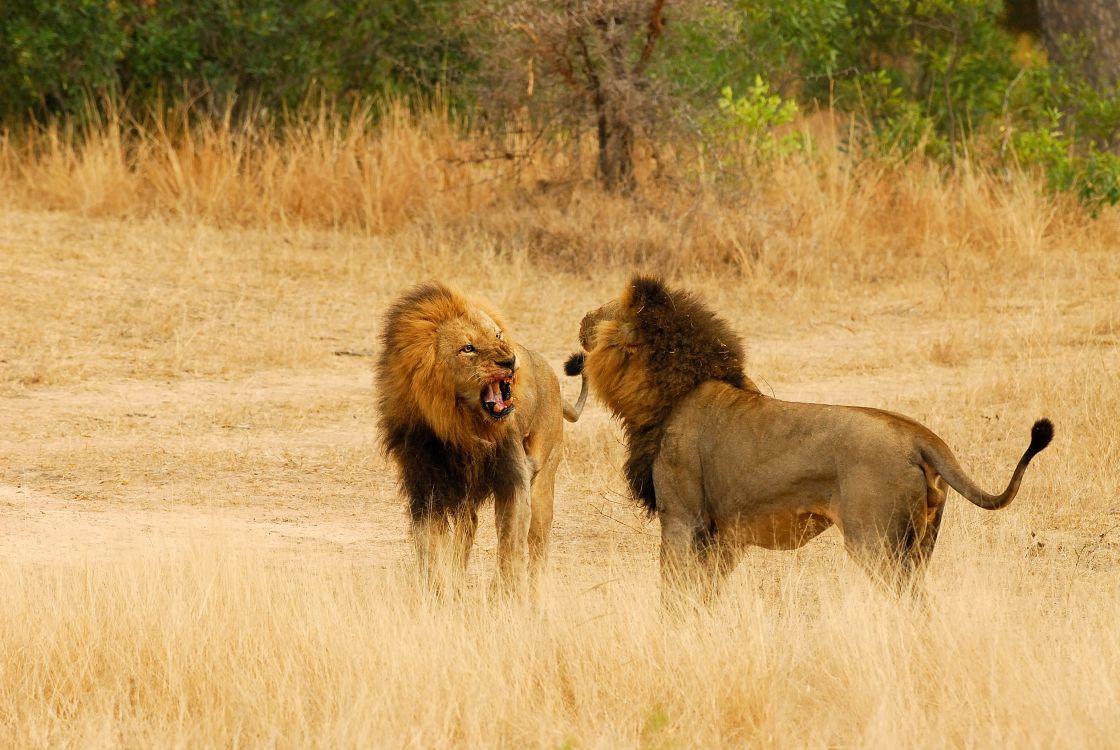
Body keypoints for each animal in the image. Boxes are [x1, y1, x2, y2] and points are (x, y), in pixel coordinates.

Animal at [376, 282, 586, 600]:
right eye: (468, 348)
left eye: (497, 335)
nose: (510, 360)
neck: (462, 426)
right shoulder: (425, 484)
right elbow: (429, 545)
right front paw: (439, 591)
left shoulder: (513, 477)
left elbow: (510, 542)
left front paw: (505, 594)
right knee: (469, 527)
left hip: (544, 480)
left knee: (537, 542)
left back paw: (534, 592)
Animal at [568, 276, 1048, 604]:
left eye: (606, 311)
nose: (581, 319)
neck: (671, 392)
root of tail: (917, 435)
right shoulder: (722, 534)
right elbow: (706, 590)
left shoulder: (682, 519)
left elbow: (673, 589)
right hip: (921, 543)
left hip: (875, 542)